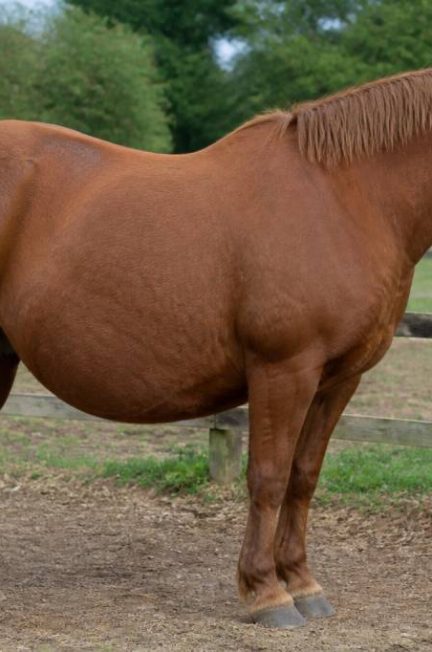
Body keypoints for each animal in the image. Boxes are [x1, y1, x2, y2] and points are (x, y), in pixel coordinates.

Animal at [0, 67, 431, 629]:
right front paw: (266, 593)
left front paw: (303, 582)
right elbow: (268, 479)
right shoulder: (284, 370)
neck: (347, 198)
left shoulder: (338, 379)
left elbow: (304, 477)